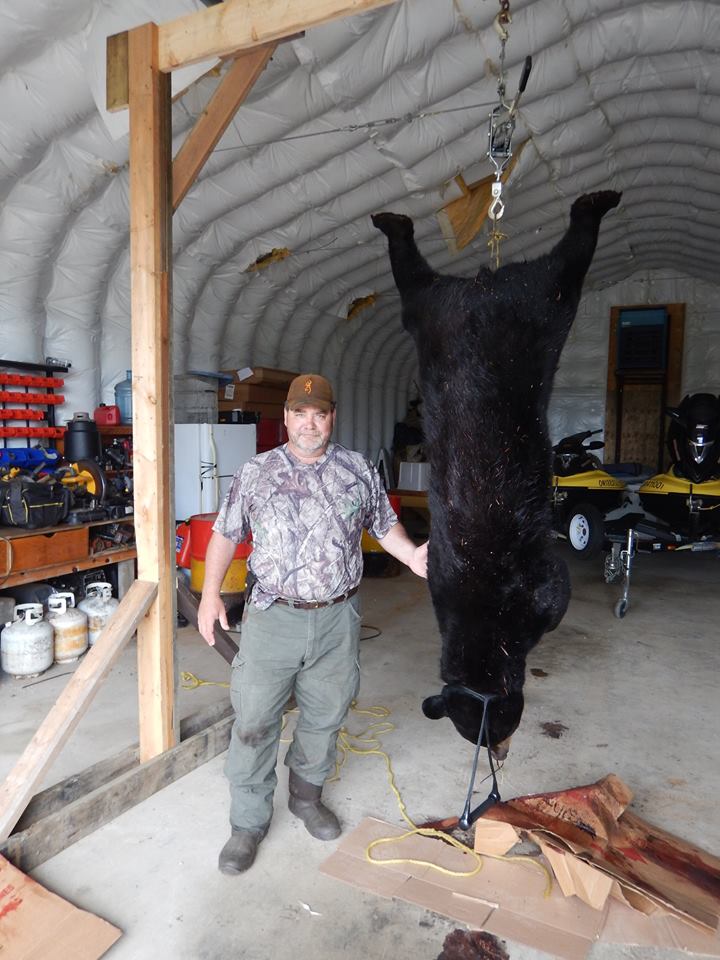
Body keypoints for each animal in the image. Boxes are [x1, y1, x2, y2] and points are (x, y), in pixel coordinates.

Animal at [372, 190, 621, 757]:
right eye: (486, 736)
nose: (499, 751)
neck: (486, 627)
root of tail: (481, 285)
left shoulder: (529, 592)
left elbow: (557, 591)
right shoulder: (447, 582)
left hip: (533, 304)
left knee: (565, 264)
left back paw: (595, 202)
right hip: (436, 313)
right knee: (413, 275)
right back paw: (393, 222)